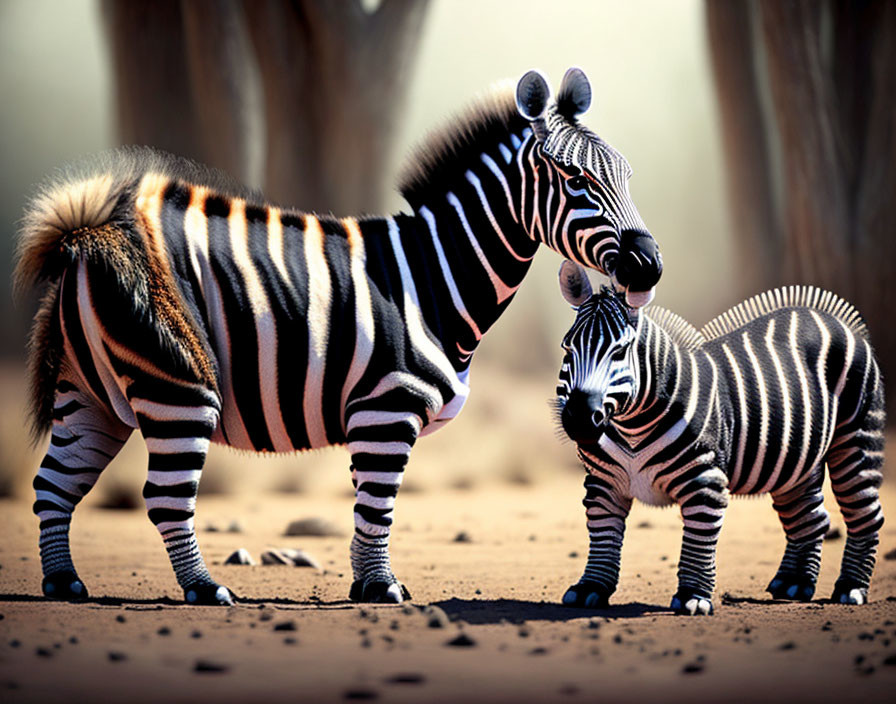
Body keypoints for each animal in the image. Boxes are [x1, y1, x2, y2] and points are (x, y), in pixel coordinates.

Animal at [10, 67, 660, 604]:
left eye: (628, 175)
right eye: (573, 179)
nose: (648, 268)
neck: (432, 275)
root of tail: (92, 230)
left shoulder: (371, 417)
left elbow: (366, 507)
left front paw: (365, 581)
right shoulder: (387, 406)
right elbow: (379, 506)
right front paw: (381, 589)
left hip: (89, 394)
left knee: (55, 485)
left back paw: (64, 583)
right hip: (176, 383)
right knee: (164, 496)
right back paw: (205, 590)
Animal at [556, 262, 884, 612]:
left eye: (619, 352)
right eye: (567, 349)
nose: (579, 419)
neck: (632, 426)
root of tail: (829, 315)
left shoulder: (705, 481)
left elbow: (699, 539)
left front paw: (693, 597)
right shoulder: (602, 483)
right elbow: (602, 536)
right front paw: (590, 587)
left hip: (856, 441)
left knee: (865, 514)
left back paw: (851, 588)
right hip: (794, 462)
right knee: (811, 517)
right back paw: (794, 583)